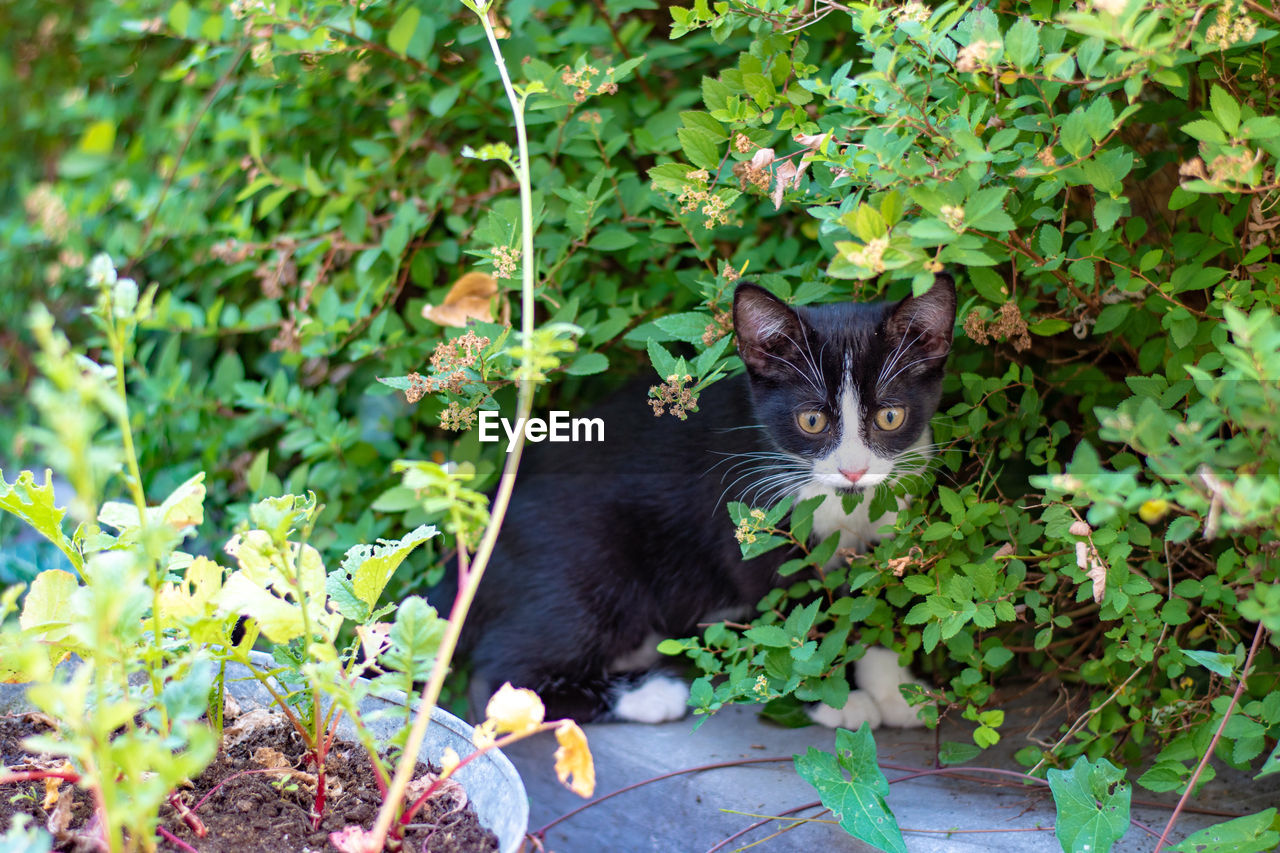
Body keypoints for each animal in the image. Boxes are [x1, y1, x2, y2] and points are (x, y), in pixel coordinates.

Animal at [455, 272, 957, 722]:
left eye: (890, 416)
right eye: (811, 421)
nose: (853, 470)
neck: (844, 504)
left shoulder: (888, 532)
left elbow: (876, 606)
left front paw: (897, 693)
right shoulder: (757, 529)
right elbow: (796, 616)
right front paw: (831, 696)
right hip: (588, 563)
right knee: (498, 675)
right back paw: (651, 695)